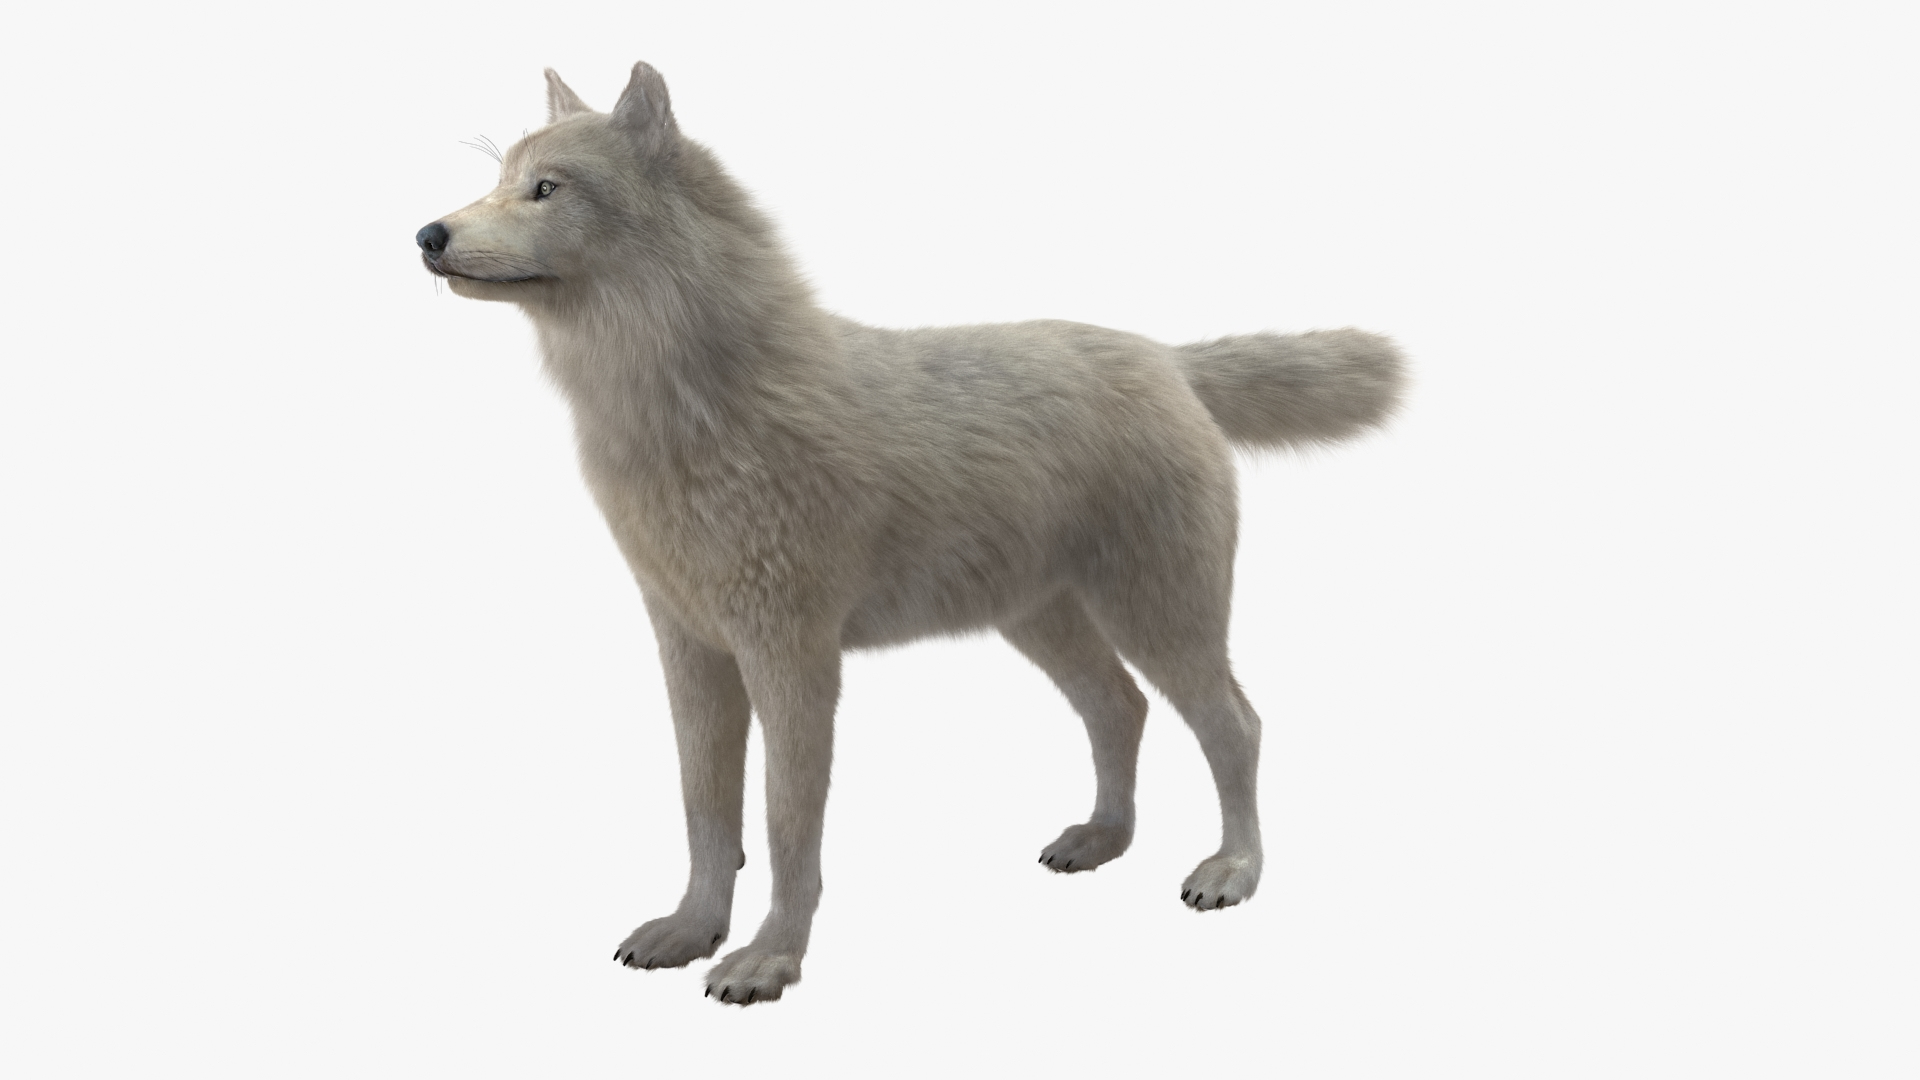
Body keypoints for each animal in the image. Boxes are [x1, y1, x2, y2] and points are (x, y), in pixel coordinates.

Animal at [417, 62, 1403, 1005]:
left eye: (547, 188)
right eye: (498, 180)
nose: (428, 234)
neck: (687, 408)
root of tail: (1166, 360)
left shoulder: (795, 657)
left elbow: (785, 828)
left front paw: (768, 960)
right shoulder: (690, 647)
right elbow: (705, 811)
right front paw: (689, 931)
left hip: (1158, 619)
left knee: (1236, 725)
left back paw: (1233, 870)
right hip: (1043, 622)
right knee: (1120, 709)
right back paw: (1099, 839)